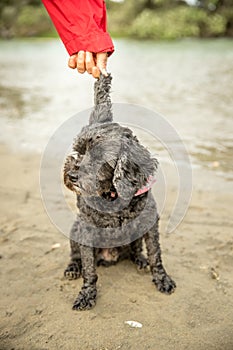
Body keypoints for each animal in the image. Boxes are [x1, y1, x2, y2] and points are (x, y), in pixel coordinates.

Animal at [62, 74, 176, 308]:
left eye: (99, 158)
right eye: (79, 152)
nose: (72, 175)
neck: (112, 196)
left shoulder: (149, 223)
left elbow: (155, 254)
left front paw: (162, 279)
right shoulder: (86, 230)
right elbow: (89, 269)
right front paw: (87, 294)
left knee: (136, 250)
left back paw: (140, 260)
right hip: (75, 229)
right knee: (75, 255)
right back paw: (72, 268)